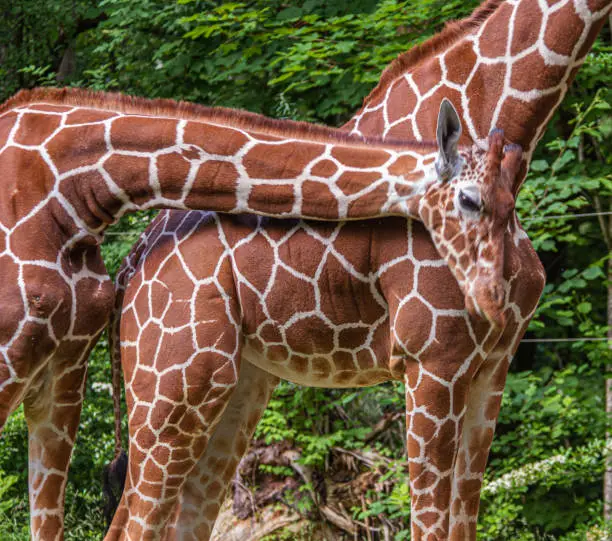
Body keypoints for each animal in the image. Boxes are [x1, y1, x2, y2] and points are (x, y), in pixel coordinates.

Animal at [105, 1, 612, 540]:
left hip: (234, 384)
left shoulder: (494, 363)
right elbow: (427, 523)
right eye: (468, 202)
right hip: (171, 383)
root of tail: (129, 267)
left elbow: (463, 521)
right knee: (132, 521)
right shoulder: (433, 359)